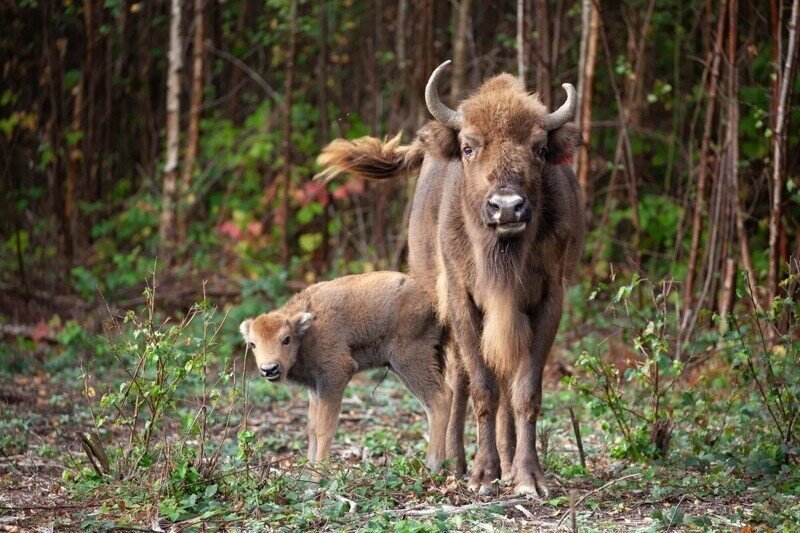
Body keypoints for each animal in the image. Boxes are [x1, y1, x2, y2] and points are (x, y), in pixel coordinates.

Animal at [238, 272, 450, 468]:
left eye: (286, 339)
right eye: (253, 344)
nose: (269, 369)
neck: (306, 332)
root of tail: (432, 300)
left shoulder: (335, 376)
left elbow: (324, 428)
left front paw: (318, 474)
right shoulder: (315, 387)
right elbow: (311, 427)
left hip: (409, 360)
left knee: (440, 400)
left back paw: (432, 465)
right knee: (433, 404)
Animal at [316, 61, 584, 494]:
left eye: (539, 148)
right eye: (469, 147)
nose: (506, 208)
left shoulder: (547, 302)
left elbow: (525, 392)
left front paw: (527, 477)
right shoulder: (462, 302)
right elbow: (482, 389)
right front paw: (483, 476)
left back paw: (507, 463)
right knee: (459, 383)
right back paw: (457, 463)